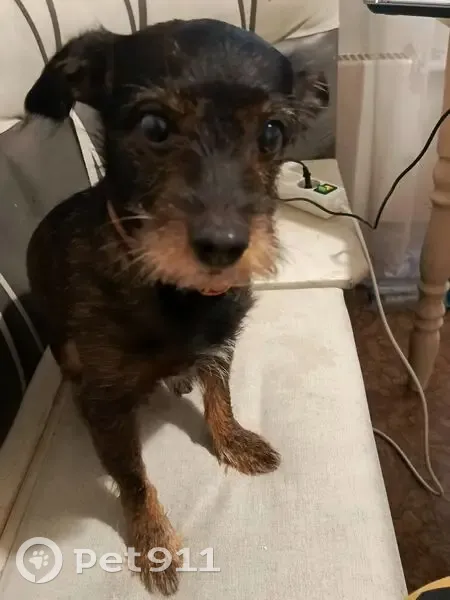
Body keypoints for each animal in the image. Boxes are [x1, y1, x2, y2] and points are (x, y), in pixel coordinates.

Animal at [25, 19, 328, 595]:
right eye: (153, 125)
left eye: (272, 133)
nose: (223, 247)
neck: (175, 293)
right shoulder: (107, 401)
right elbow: (133, 478)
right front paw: (154, 540)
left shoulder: (220, 343)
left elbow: (221, 397)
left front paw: (234, 441)